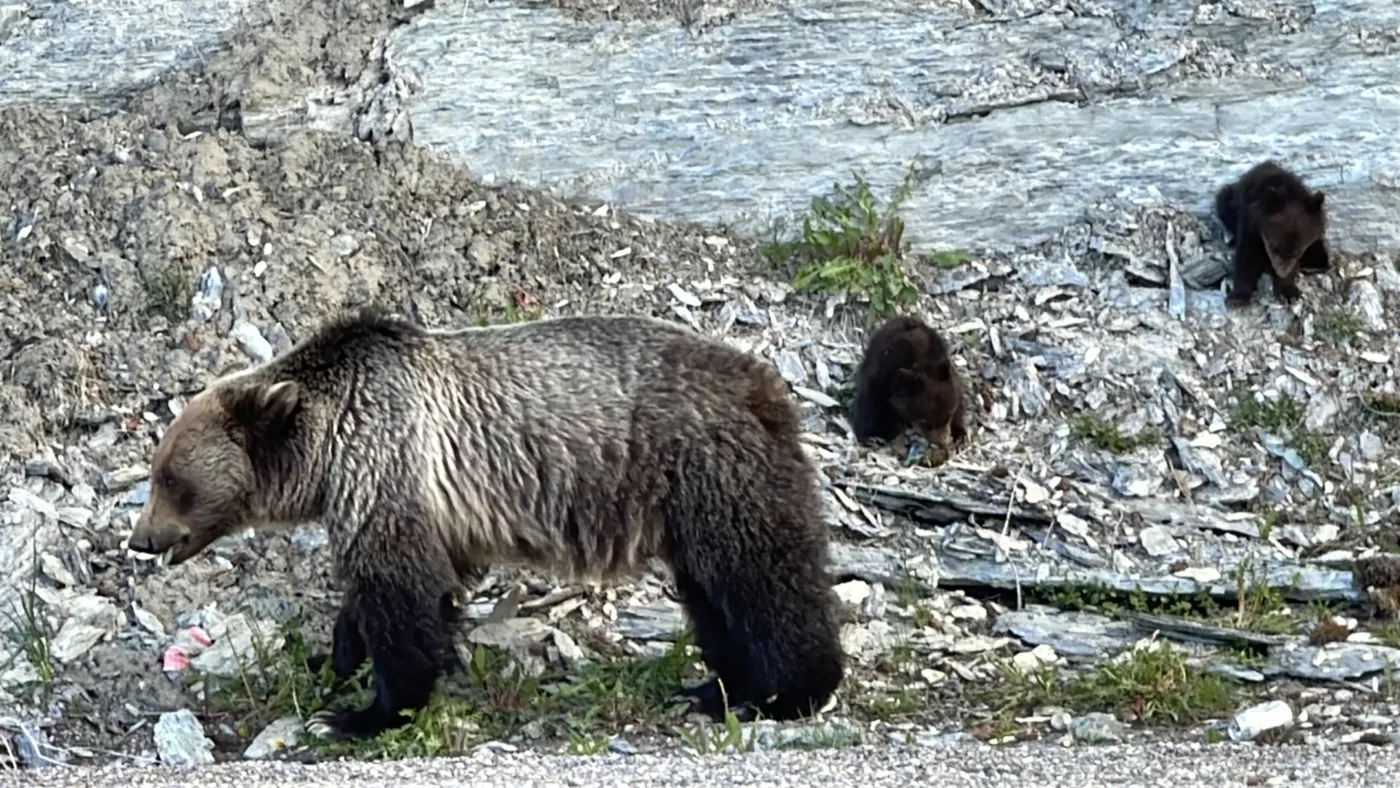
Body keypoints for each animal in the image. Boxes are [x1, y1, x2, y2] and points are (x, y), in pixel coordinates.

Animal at [126, 307, 840, 739]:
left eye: (171, 479)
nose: (140, 537)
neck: (325, 448)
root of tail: (767, 384)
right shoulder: (425, 506)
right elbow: (400, 590)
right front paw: (336, 658)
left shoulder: (386, 462)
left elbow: (401, 593)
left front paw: (365, 711)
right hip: (690, 502)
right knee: (715, 595)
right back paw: (717, 688)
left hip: (708, 466)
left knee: (761, 576)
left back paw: (787, 691)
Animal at [845, 313, 968, 450]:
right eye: (925, 423)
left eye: (948, 416)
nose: (944, 442)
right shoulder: (880, 378)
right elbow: (869, 406)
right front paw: (872, 436)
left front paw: (959, 434)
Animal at [1220, 160, 1327, 305]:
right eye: (1274, 248)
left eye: (1298, 252)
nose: (1281, 272)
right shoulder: (1250, 226)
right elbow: (1246, 257)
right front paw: (1237, 297)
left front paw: (1288, 291)